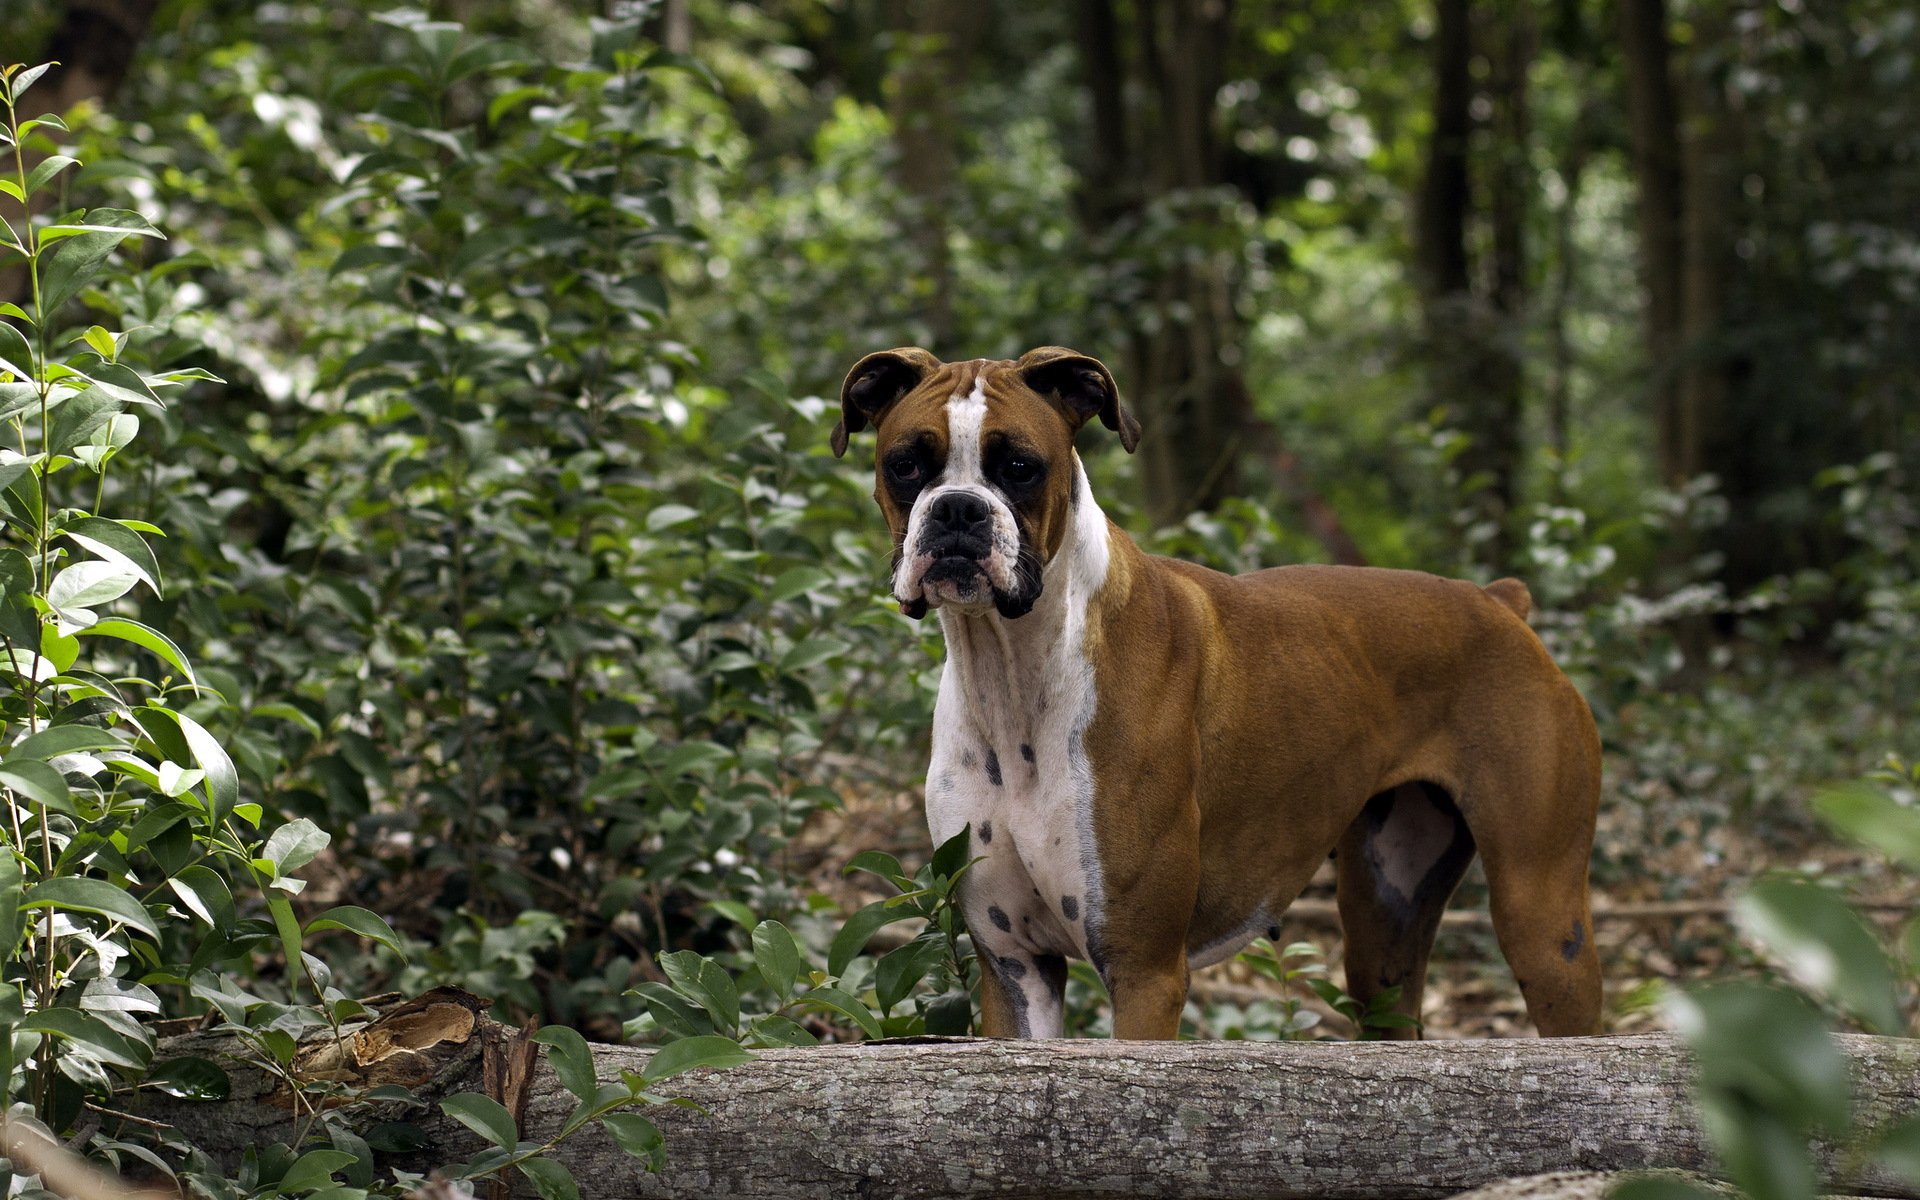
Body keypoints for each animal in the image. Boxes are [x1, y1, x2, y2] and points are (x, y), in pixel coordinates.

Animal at [833, 345, 1597, 1036]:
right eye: (906, 464)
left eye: (1020, 467)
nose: (958, 510)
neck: (1015, 670)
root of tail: (1498, 602)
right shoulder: (1015, 970)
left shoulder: (1144, 973)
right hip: (1385, 929)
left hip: (1541, 921)